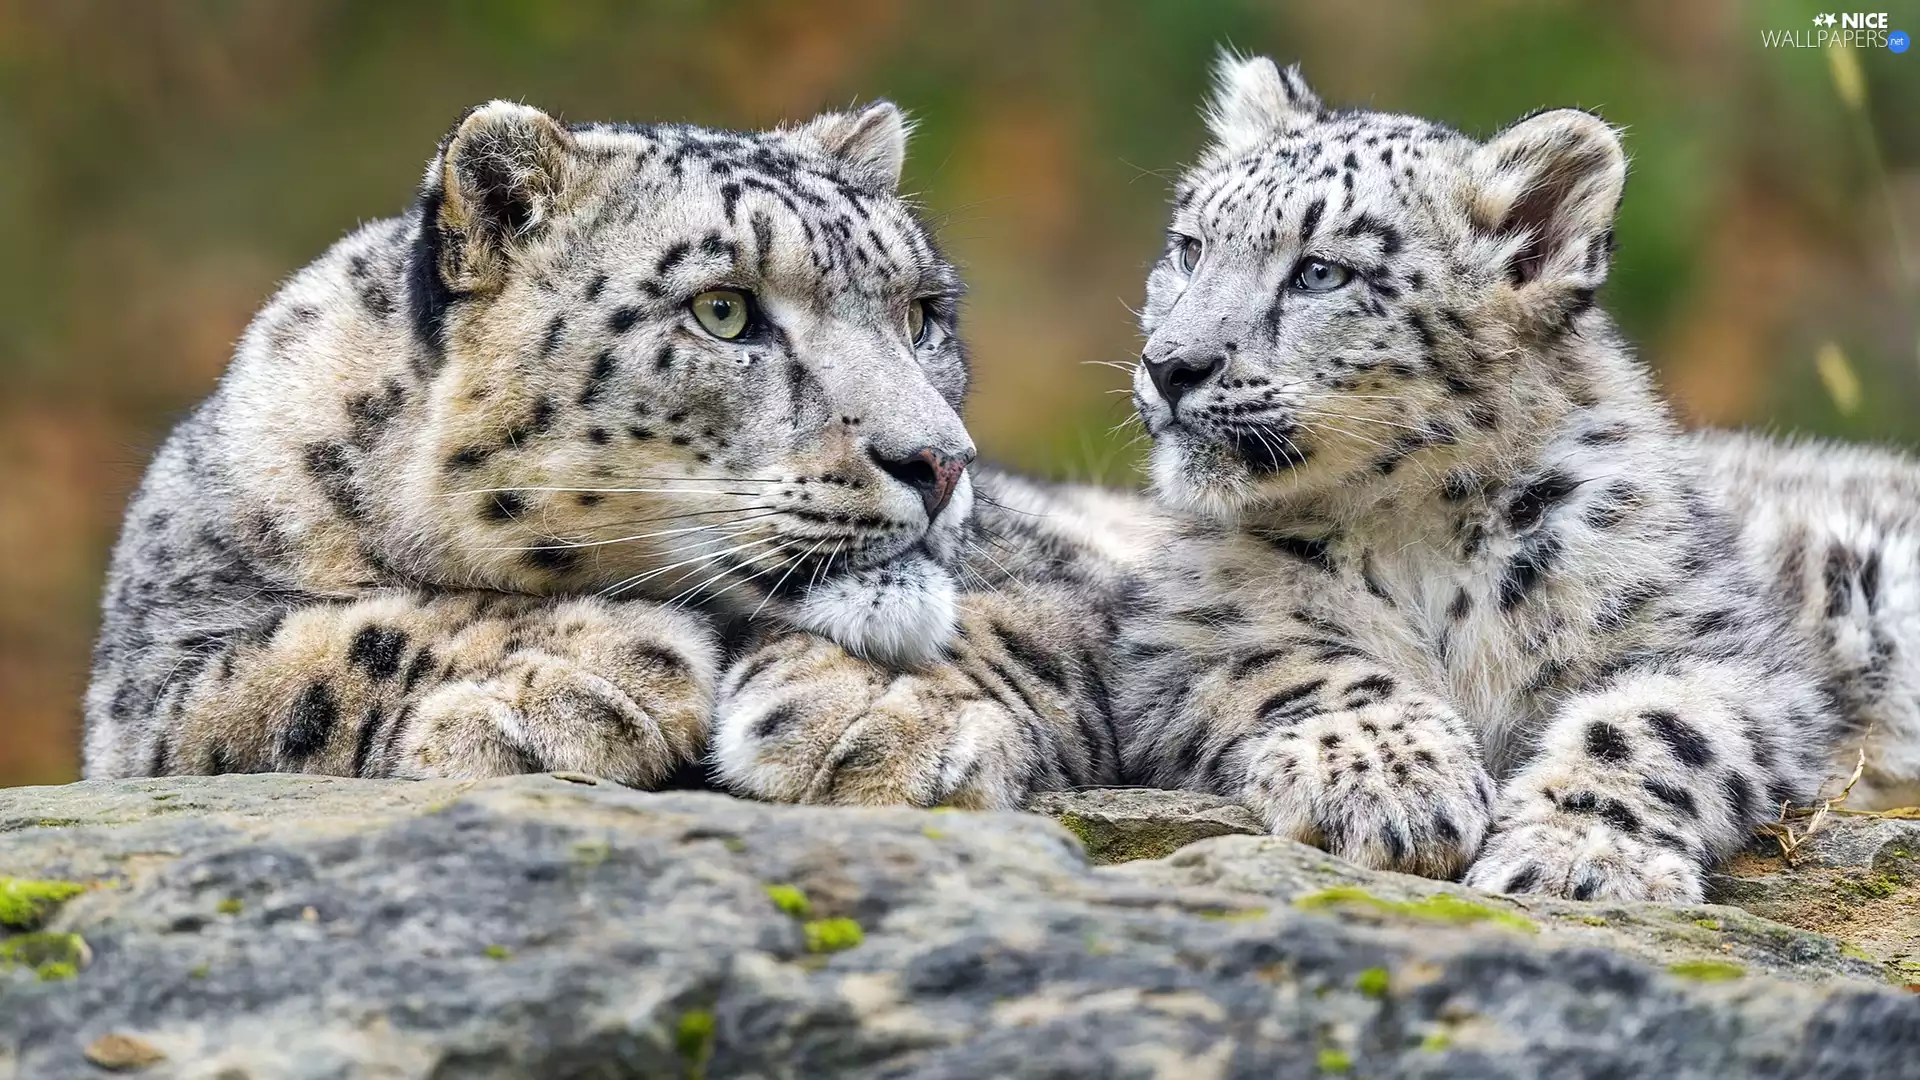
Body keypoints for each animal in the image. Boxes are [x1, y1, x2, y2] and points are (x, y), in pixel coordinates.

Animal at [83, 96, 1134, 797]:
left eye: (922, 316)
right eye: (723, 311)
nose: (941, 462)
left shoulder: (1084, 581)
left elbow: (1012, 622)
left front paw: (883, 720)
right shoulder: (155, 666)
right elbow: (311, 651)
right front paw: (591, 672)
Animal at [1107, 53, 1920, 903]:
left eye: (1321, 273)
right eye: (1190, 248)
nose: (1170, 365)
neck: (1415, 529)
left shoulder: (1727, 652)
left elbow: (1656, 725)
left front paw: (1577, 857)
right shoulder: (1185, 637)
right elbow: (1297, 665)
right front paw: (1389, 782)